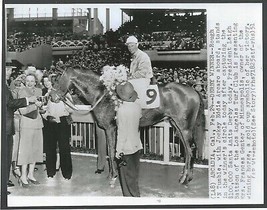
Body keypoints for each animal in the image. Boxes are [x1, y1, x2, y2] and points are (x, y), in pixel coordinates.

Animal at [52, 65, 207, 185]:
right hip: (177, 125)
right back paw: (184, 176)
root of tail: (193, 91)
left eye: (59, 79)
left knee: (190, 149)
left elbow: (111, 150)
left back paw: (186, 178)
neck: (103, 94)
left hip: (184, 127)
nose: (52, 97)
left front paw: (113, 176)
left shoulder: (111, 128)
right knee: (187, 150)